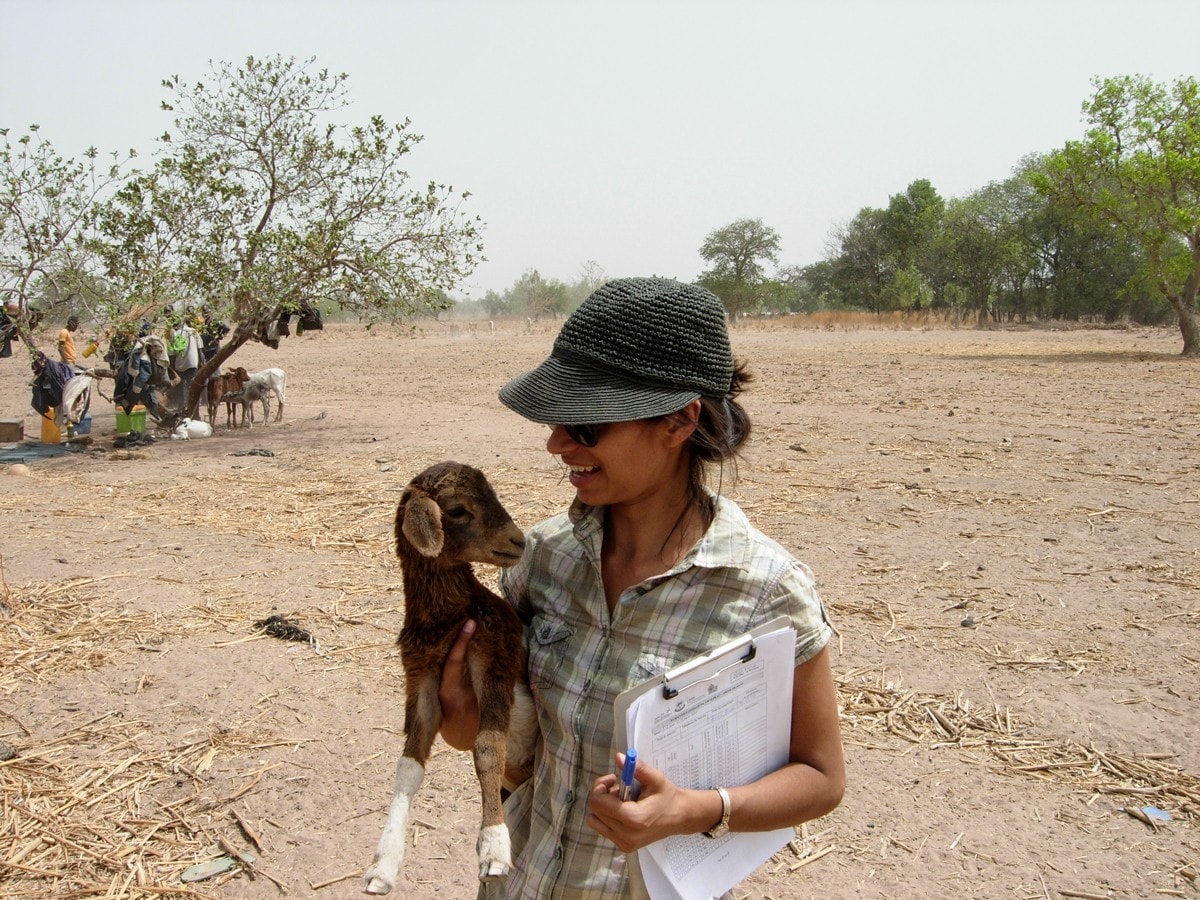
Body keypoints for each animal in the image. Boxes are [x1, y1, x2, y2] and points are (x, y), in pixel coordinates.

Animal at [362, 465, 537, 897]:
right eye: (457, 509)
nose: (519, 540)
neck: (448, 619)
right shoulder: (421, 679)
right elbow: (408, 767)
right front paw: (383, 866)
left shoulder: (494, 658)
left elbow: (488, 748)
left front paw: (493, 847)